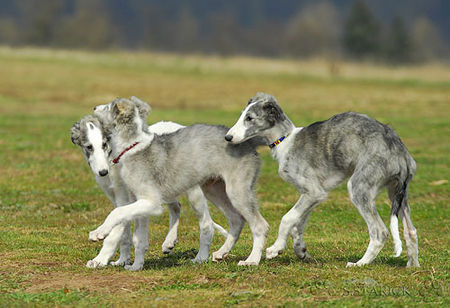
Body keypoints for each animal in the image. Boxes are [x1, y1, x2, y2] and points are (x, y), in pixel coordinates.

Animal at [89, 97, 268, 266]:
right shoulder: (138, 201)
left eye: (108, 107)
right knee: (236, 220)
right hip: (214, 189)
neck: (132, 147)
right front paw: (135, 265)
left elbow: (117, 212)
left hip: (235, 190)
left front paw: (99, 233)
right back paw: (220, 253)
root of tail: (248, 142)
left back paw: (251, 260)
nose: (94, 107)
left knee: (260, 225)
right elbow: (135, 232)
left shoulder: (152, 202)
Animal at [227, 91, 420, 268]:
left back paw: (360, 263)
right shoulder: (312, 195)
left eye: (250, 118)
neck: (286, 140)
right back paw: (412, 266)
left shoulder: (313, 192)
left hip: (360, 187)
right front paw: (300, 251)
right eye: (242, 115)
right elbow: (297, 225)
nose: (228, 137)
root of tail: (401, 152)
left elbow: (287, 219)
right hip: (397, 193)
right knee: (410, 230)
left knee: (380, 232)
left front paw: (276, 248)